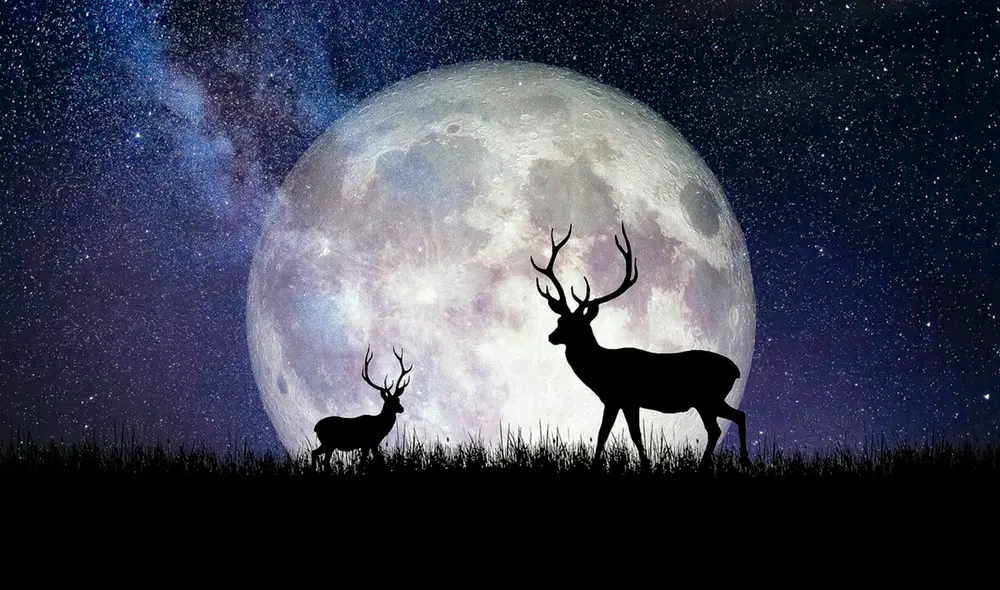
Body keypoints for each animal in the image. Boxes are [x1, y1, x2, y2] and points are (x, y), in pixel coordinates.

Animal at [530, 222, 749, 472]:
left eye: (576, 325)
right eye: (560, 321)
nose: (551, 336)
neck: (601, 368)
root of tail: (735, 370)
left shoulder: (624, 398)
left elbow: (622, 434)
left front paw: (633, 466)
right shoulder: (619, 401)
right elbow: (615, 435)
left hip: (707, 398)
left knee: (717, 428)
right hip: (711, 400)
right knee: (736, 417)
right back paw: (742, 461)